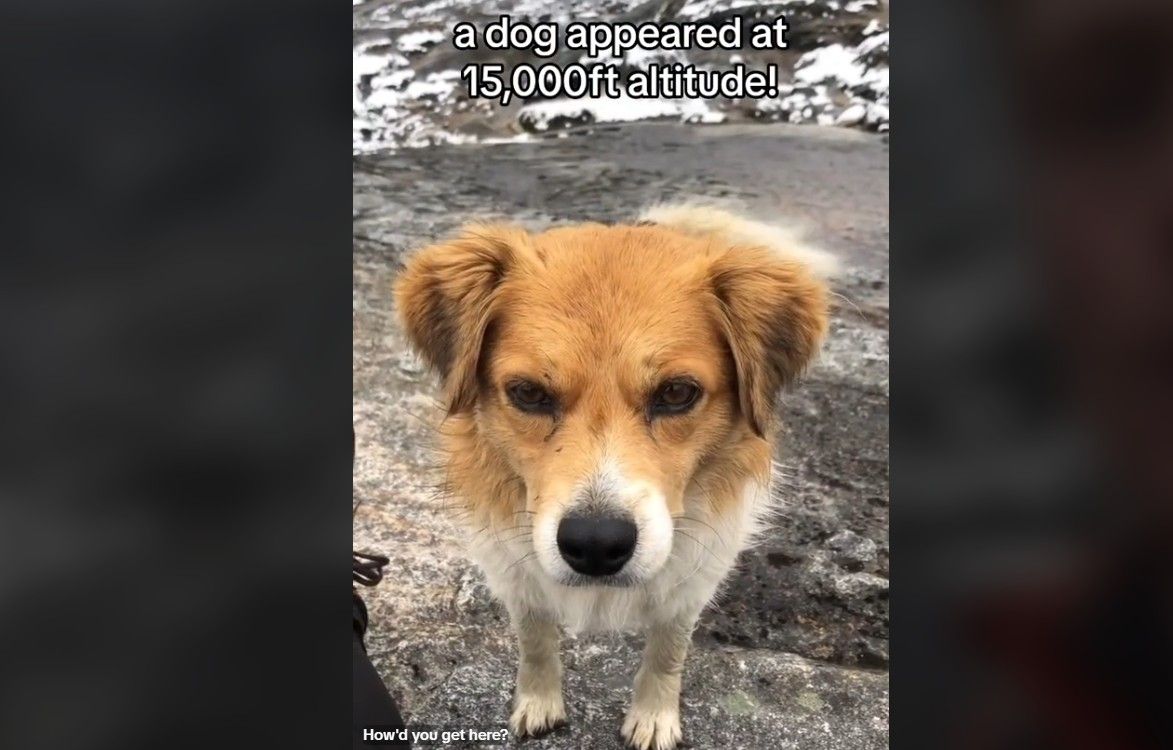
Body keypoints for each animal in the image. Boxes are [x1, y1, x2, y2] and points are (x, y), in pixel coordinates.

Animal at [396, 205, 835, 750]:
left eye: (676, 393)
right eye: (528, 393)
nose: (596, 544)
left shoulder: (690, 583)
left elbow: (668, 651)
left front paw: (653, 716)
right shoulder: (516, 575)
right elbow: (534, 641)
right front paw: (539, 702)